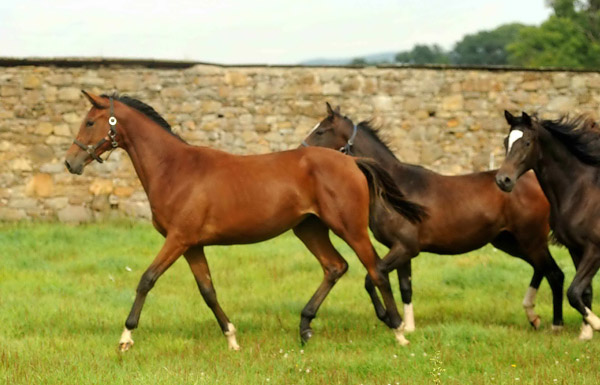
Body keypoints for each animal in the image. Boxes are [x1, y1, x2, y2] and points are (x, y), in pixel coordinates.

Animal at [64, 91, 426, 350]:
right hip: (308, 228)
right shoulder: (192, 245)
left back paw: (398, 331)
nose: (71, 162)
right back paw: (305, 327)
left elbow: (146, 279)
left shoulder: (178, 239)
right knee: (335, 267)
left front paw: (126, 337)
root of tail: (353, 162)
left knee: (375, 270)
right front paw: (232, 338)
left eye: (90, 123)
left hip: (349, 228)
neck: (175, 169)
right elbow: (208, 291)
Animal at [302, 103, 564, 332]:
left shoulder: (405, 248)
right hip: (510, 242)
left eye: (321, 131)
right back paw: (534, 317)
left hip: (531, 242)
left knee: (554, 274)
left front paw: (388, 319)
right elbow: (405, 288)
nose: (301, 151)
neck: (397, 189)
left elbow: (371, 278)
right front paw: (407, 328)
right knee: (541, 269)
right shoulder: (401, 251)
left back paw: (561, 326)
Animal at [500, 111, 600, 340]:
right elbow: (584, 291)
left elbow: (573, 291)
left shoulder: (595, 249)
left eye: (527, 143)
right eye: (505, 142)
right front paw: (586, 333)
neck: (580, 193)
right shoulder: (575, 248)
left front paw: (596, 324)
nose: (503, 180)